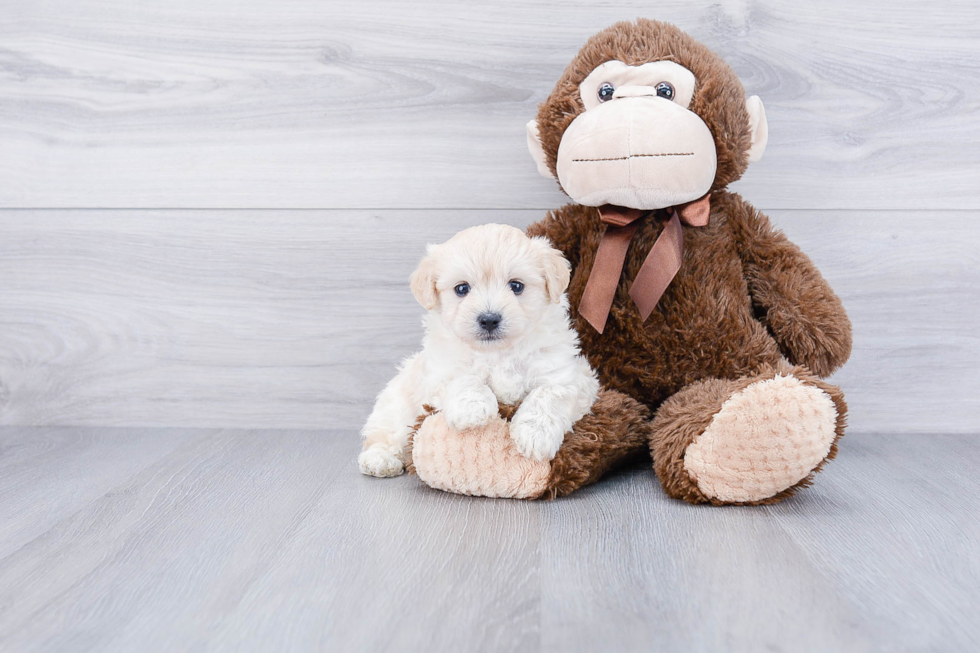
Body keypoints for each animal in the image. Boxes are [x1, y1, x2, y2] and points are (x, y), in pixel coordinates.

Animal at [358, 222, 596, 476]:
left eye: (516, 286)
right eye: (462, 289)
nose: (489, 319)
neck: (499, 353)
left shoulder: (567, 374)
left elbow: (549, 396)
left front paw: (535, 435)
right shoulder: (440, 371)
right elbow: (463, 379)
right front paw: (472, 409)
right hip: (395, 408)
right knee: (384, 434)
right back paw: (380, 459)